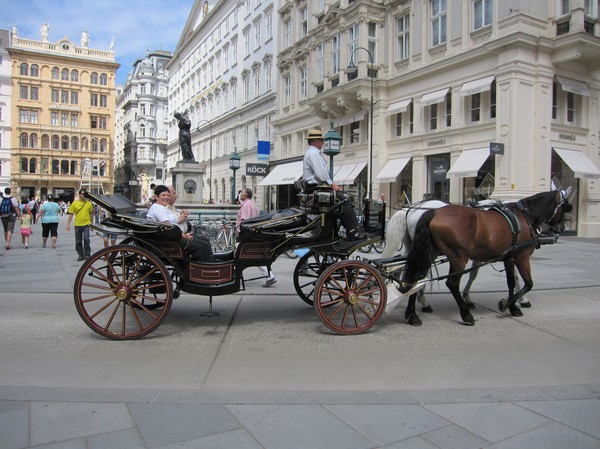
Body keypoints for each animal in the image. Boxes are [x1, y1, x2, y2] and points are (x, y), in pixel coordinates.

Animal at [400, 189, 568, 326]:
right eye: (565, 208)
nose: (561, 228)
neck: (523, 215)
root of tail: (433, 212)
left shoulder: (508, 257)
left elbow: (511, 282)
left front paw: (512, 306)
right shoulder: (521, 256)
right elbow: (528, 283)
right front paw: (508, 303)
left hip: (429, 253)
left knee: (416, 278)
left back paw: (413, 315)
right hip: (458, 257)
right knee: (451, 283)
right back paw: (466, 315)